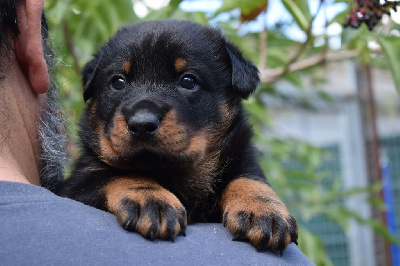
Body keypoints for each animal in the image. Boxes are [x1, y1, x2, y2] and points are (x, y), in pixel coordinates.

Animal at [58, 19, 296, 252]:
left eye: (188, 81)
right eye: (118, 82)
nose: (142, 123)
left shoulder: (243, 157)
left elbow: (248, 178)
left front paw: (264, 210)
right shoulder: (79, 181)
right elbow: (117, 174)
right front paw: (151, 200)